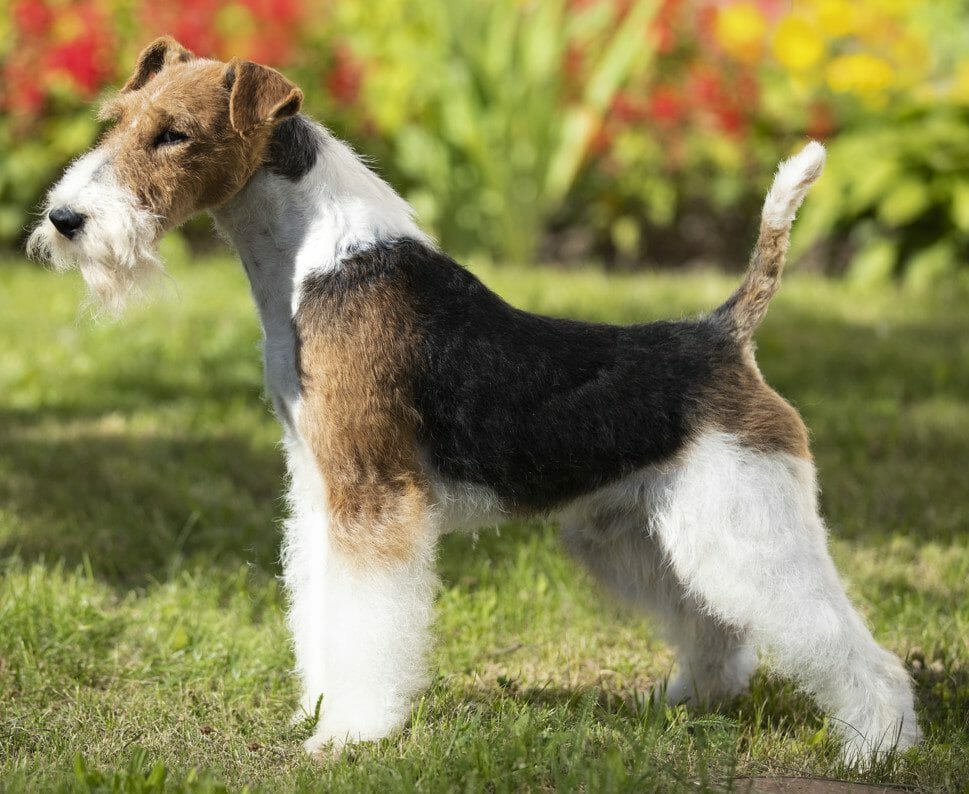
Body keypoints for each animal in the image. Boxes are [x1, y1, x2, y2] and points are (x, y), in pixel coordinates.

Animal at [26, 35, 920, 760]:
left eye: (175, 134)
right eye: (115, 119)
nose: (65, 220)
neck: (314, 264)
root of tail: (724, 331)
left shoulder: (376, 496)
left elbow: (367, 624)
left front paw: (351, 733)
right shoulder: (320, 492)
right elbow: (319, 610)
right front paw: (319, 707)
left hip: (741, 520)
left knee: (850, 648)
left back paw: (875, 745)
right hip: (636, 531)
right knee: (715, 629)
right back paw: (688, 702)